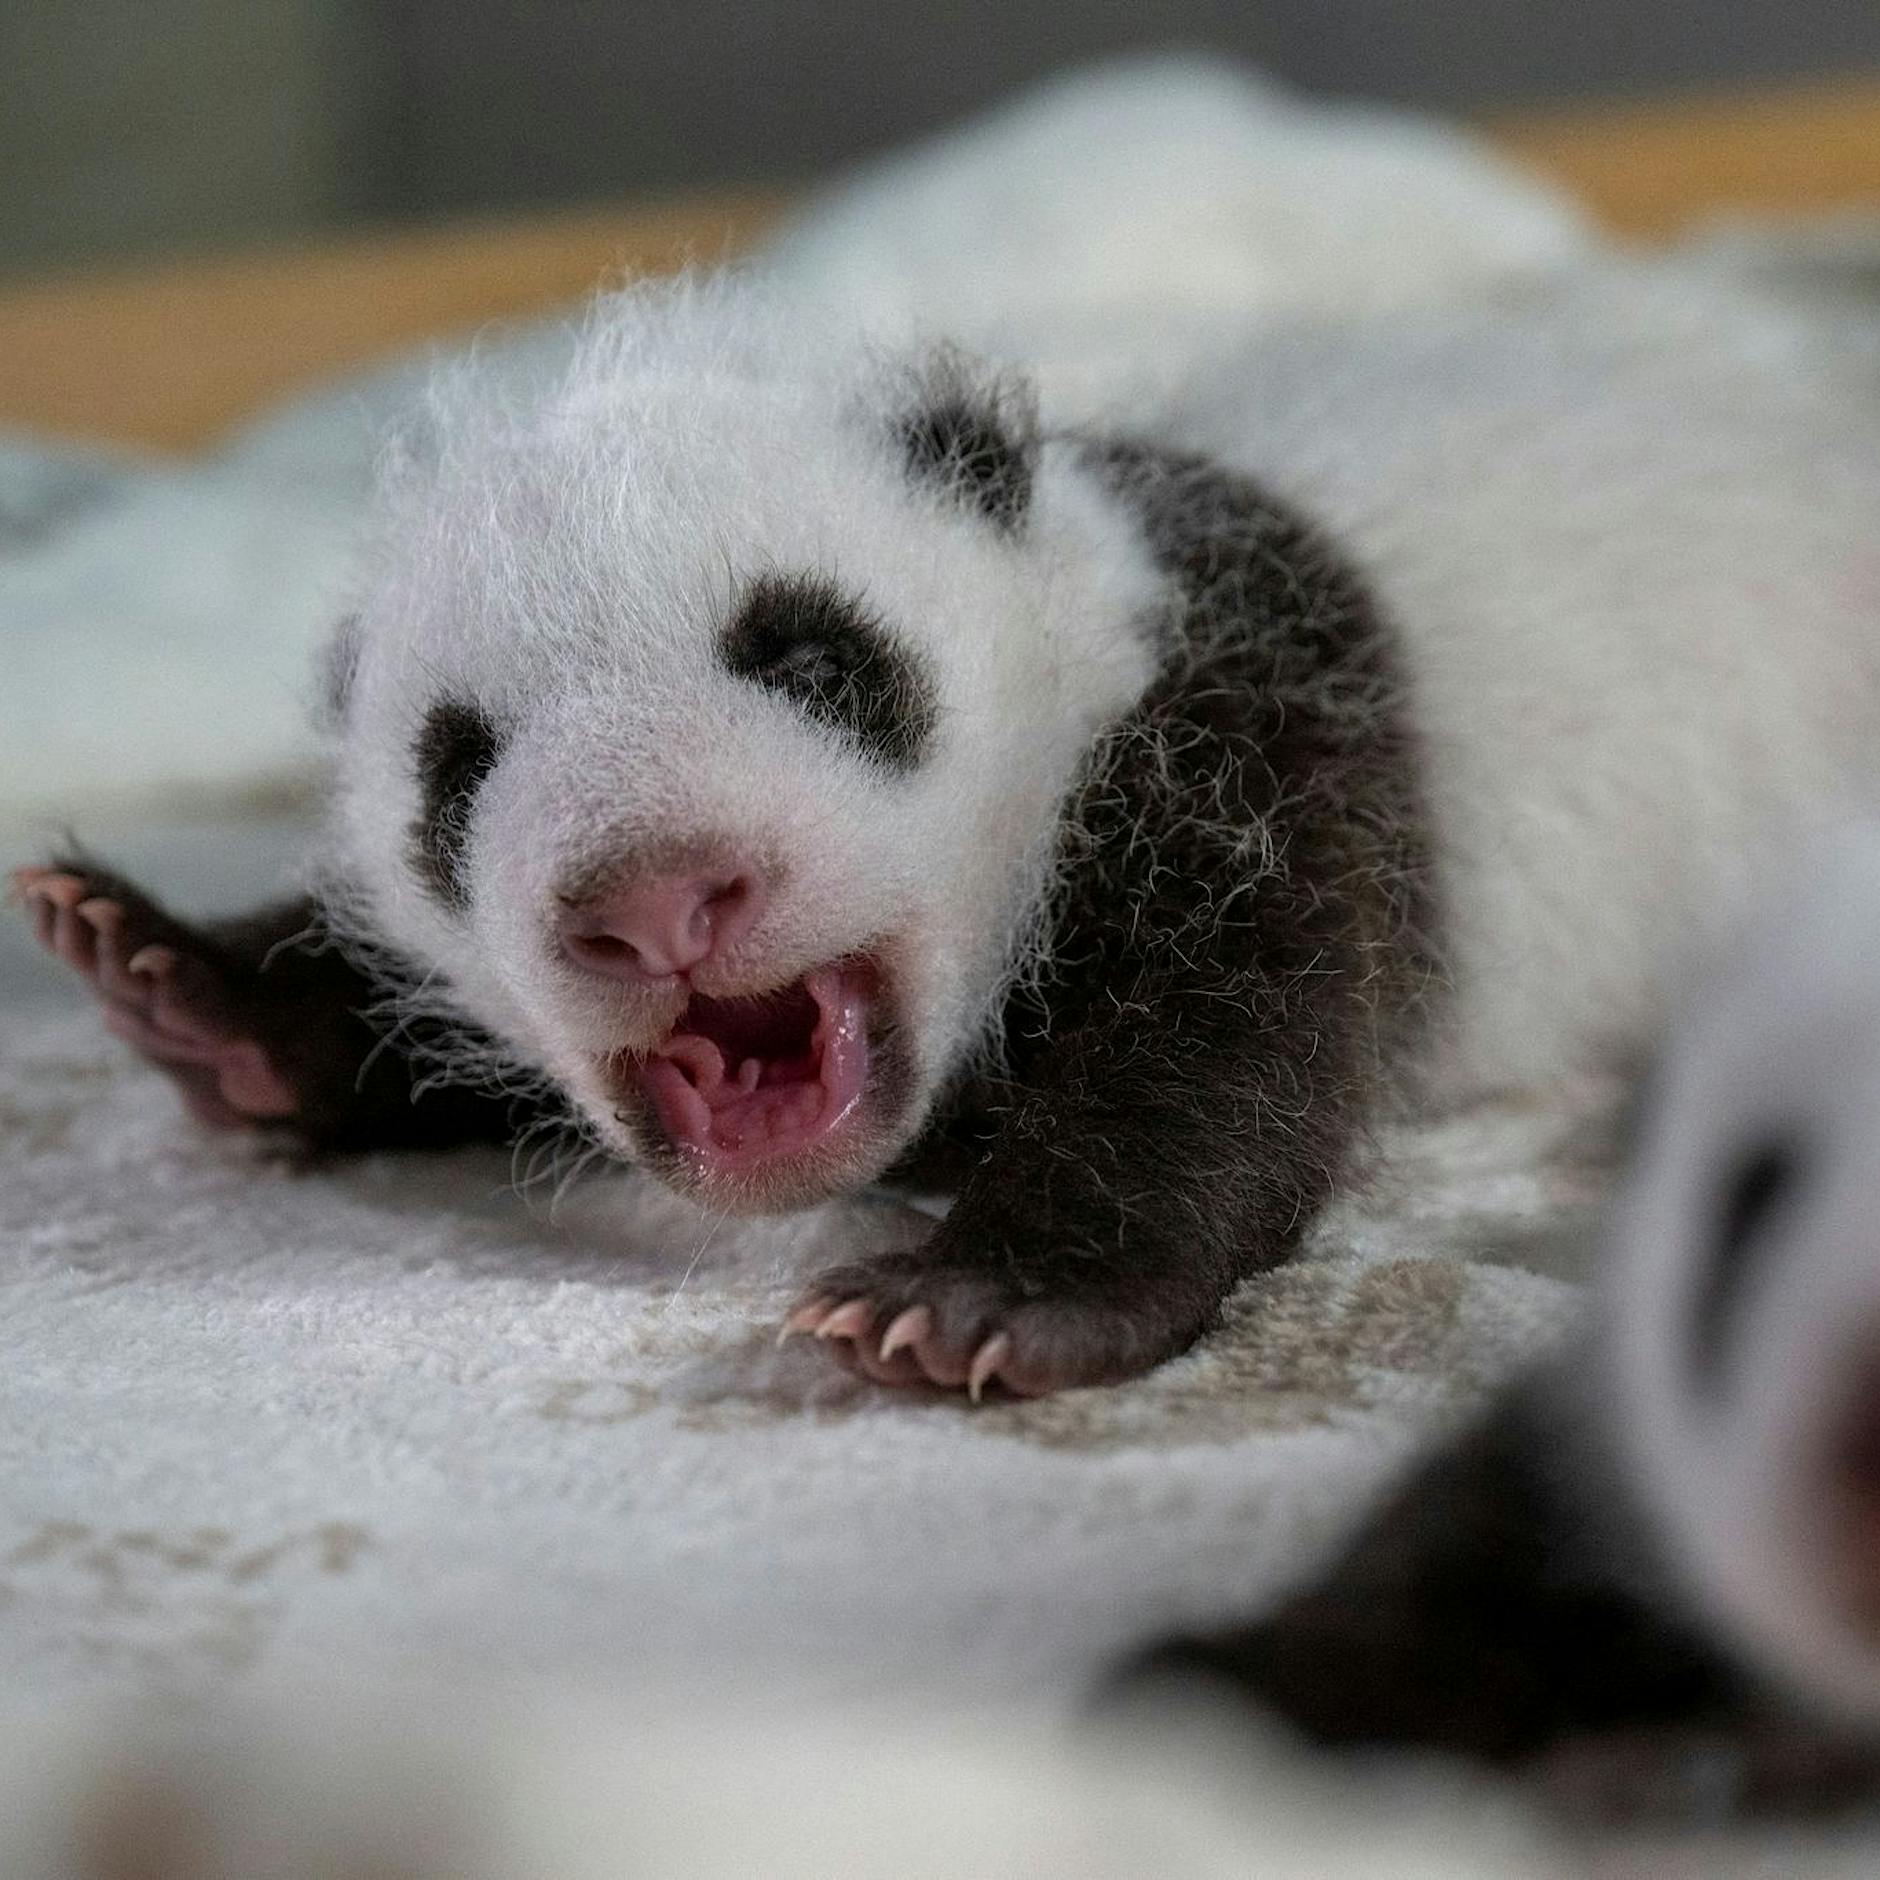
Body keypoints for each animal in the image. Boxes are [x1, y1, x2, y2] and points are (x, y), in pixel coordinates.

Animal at [16, 265, 1880, 1399]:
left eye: (811, 656)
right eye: (455, 773)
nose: (659, 901)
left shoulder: (1250, 724)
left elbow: (1233, 1028)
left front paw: (984, 1296)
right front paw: (183, 982)